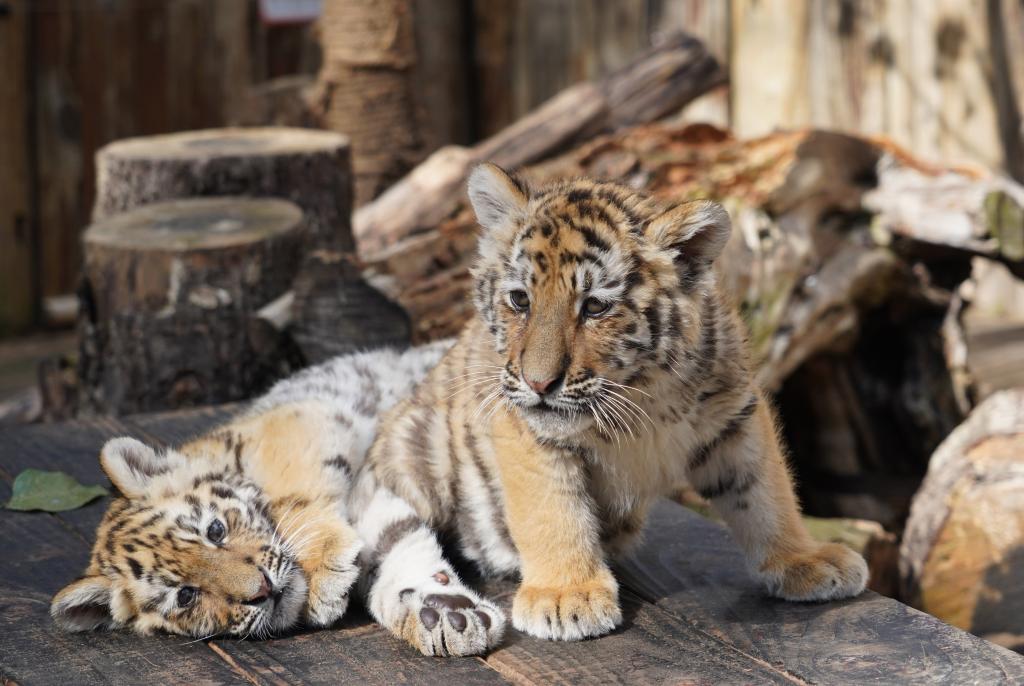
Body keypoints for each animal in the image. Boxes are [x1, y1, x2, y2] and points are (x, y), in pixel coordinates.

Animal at [49, 342, 510, 645]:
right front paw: (445, 616)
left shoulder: (306, 422)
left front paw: (326, 573)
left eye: (215, 531)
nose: (263, 591)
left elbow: (297, 499)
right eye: (185, 595)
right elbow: (394, 549)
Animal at [352, 163, 869, 654]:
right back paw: (445, 618)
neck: (642, 394)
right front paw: (566, 596)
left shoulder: (735, 413)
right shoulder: (530, 434)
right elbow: (553, 511)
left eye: (596, 307)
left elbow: (764, 492)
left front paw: (804, 559)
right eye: (520, 300)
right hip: (408, 471)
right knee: (386, 563)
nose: (539, 383)